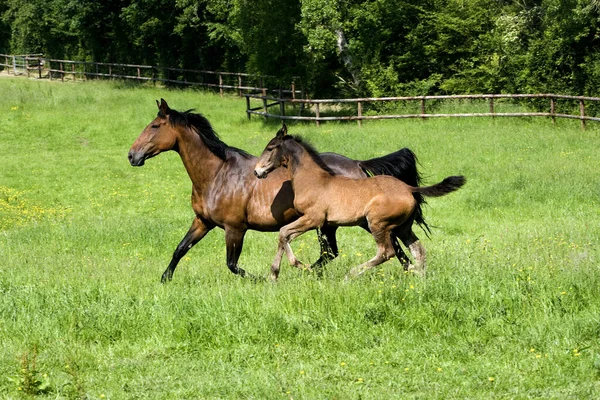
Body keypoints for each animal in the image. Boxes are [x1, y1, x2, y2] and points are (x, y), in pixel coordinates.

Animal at [129, 99, 424, 282]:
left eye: (155, 126)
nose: (132, 156)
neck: (217, 175)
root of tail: (359, 165)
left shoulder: (234, 228)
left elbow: (232, 265)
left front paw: (262, 278)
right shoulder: (203, 221)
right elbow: (180, 249)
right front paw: (164, 280)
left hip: (356, 221)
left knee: (391, 247)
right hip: (329, 224)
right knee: (333, 253)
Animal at [255, 126, 466, 280]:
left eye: (270, 148)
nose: (257, 171)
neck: (312, 179)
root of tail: (409, 188)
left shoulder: (314, 219)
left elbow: (284, 233)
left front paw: (299, 265)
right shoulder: (317, 223)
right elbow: (285, 236)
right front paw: (274, 274)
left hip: (377, 223)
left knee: (386, 252)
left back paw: (351, 274)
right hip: (403, 228)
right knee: (418, 250)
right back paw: (419, 278)